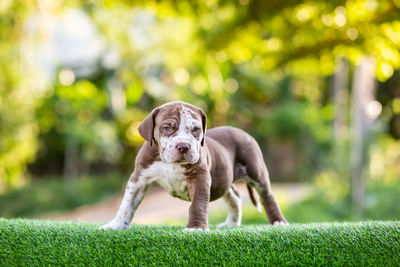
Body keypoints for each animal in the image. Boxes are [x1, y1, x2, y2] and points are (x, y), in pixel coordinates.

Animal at [100, 101, 288, 231]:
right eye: (166, 128)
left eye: (196, 129)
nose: (183, 146)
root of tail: (241, 131)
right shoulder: (139, 178)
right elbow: (127, 204)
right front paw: (116, 225)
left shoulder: (200, 178)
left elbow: (198, 203)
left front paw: (196, 228)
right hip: (223, 180)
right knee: (234, 197)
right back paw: (231, 224)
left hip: (256, 170)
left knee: (267, 196)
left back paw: (278, 222)